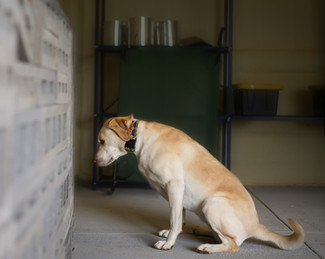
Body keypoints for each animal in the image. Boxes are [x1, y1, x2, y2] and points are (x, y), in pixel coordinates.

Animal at [93, 115, 304, 254]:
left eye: (102, 141)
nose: (94, 161)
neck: (141, 140)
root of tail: (256, 226)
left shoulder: (175, 185)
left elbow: (175, 220)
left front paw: (169, 242)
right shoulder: (177, 193)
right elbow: (179, 216)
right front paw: (170, 232)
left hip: (212, 204)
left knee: (233, 244)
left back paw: (208, 247)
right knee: (221, 236)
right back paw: (202, 231)